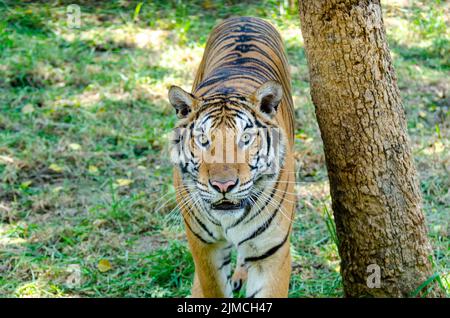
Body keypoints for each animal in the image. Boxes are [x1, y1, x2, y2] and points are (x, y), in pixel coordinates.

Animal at [168, 15, 296, 298]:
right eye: (203, 139)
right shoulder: (205, 246)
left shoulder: (272, 252)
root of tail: (245, 17)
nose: (223, 186)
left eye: (245, 138)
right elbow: (213, 287)